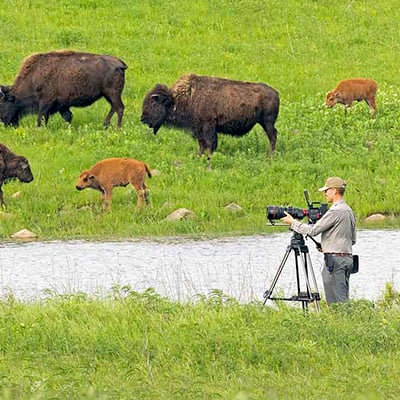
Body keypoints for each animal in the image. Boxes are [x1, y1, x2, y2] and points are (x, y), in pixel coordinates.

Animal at [141, 74, 278, 166]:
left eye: (153, 104)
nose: (142, 119)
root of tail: (276, 93)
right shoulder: (199, 129)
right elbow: (202, 144)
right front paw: (198, 157)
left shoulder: (208, 126)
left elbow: (209, 143)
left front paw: (208, 158)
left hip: (267, 122)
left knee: (273, 136)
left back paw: (270, 156)